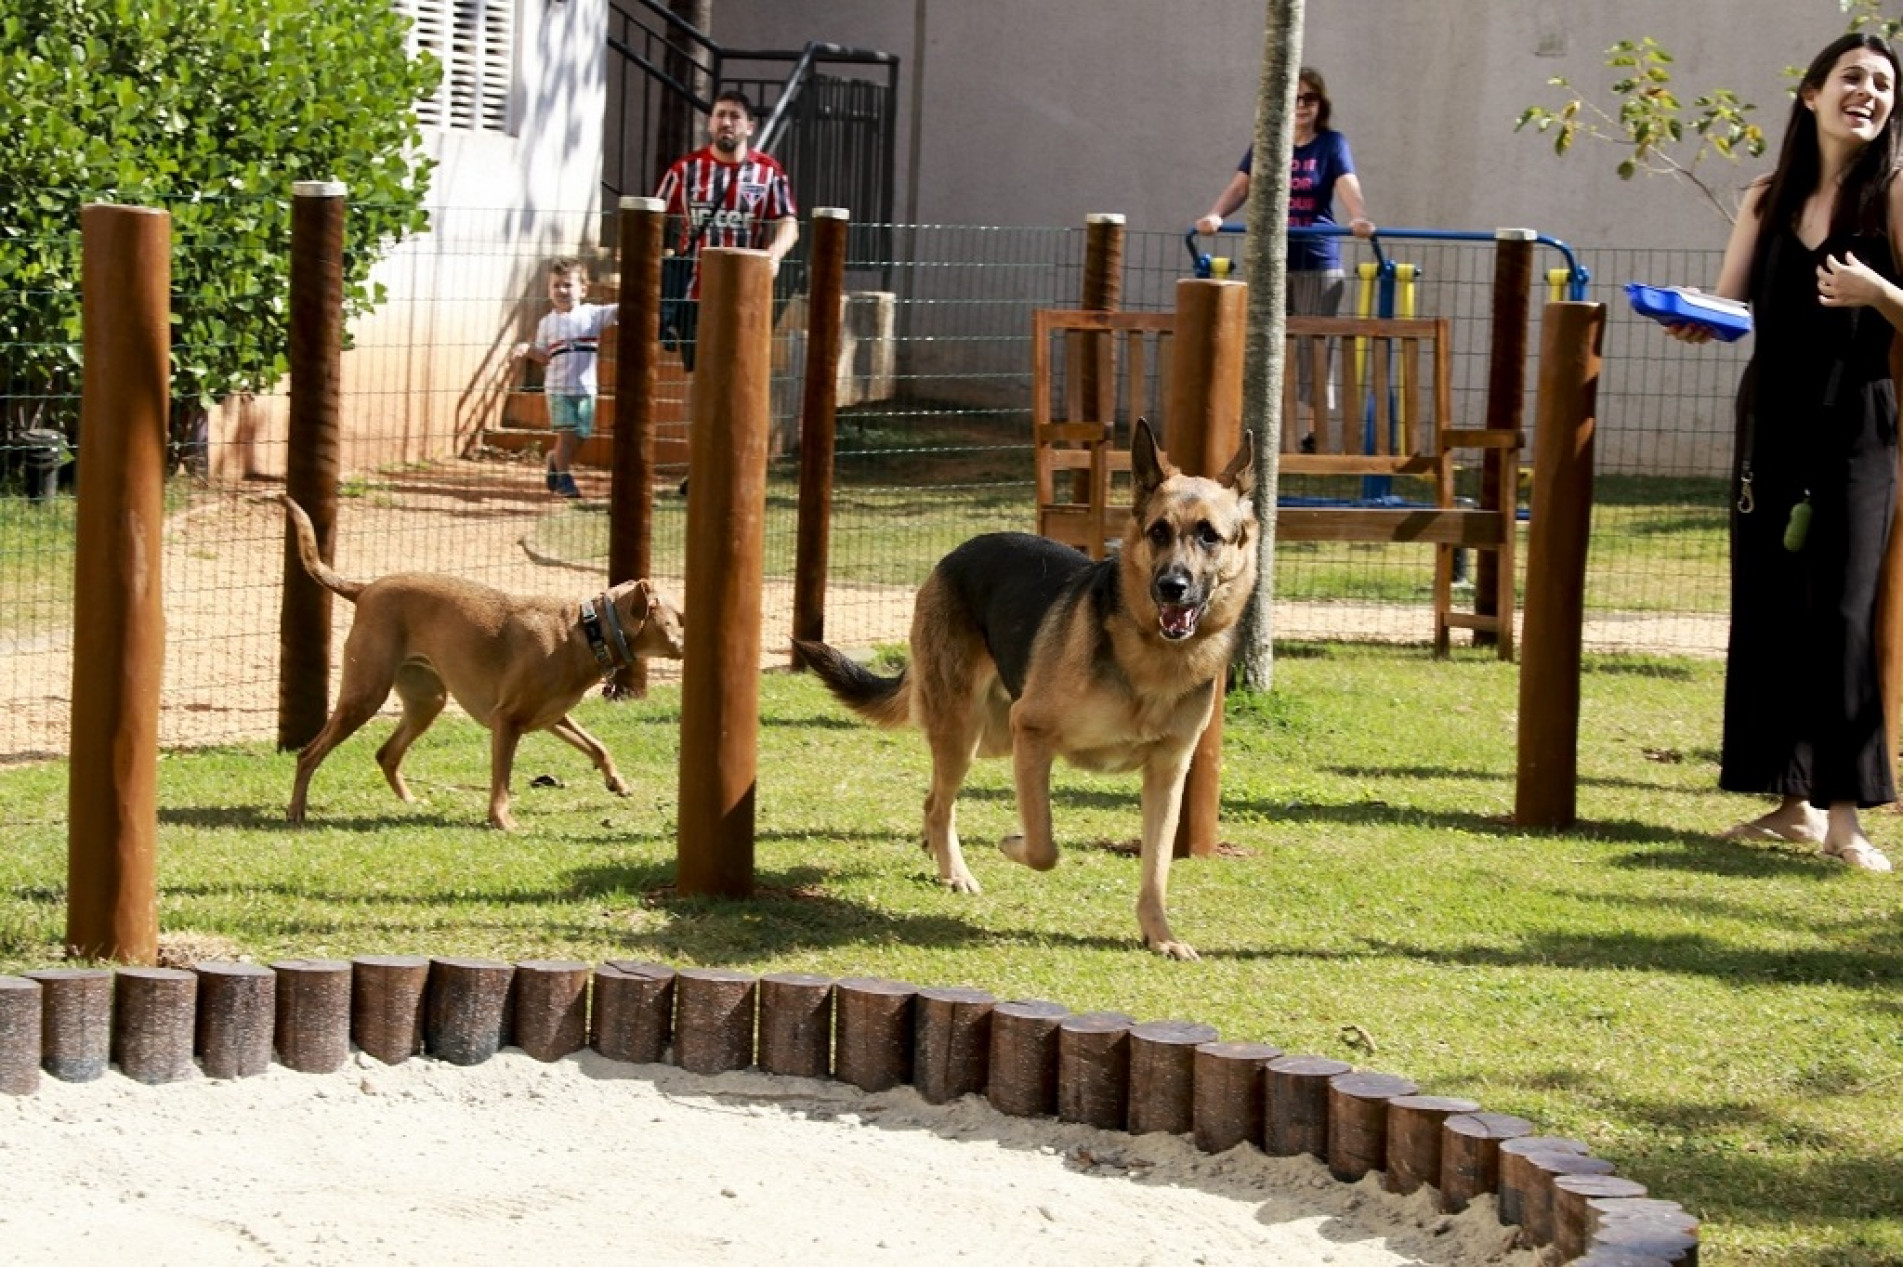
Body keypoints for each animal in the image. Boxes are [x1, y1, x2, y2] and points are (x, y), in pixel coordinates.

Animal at [281, 494, 685, 829]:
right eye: (679, 616)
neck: (587, 632)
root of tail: (364, 589)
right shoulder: (507, 722)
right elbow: (501, 781)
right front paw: (502, 820)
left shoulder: (552, 718)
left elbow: (597, 745)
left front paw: (617, 782)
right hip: (365, 695)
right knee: (307, 755)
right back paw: (296, 811)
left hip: (427, 700)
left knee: (386, 753)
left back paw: (410, 801)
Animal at [795, 418, 1255, 951]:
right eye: (1159, 531)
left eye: (1209, 536)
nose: (1172, 587)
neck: (1151, 659)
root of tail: (956, 553)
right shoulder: (1031, 734)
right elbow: (1042, 846)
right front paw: (1010, 842)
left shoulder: (1167, 771)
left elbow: (1156, 867)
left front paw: (1160, 936)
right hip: (969, 731)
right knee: (940, 801)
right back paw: (955, 870)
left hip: (988, 737)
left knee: (933, 799)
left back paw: (935, 848)